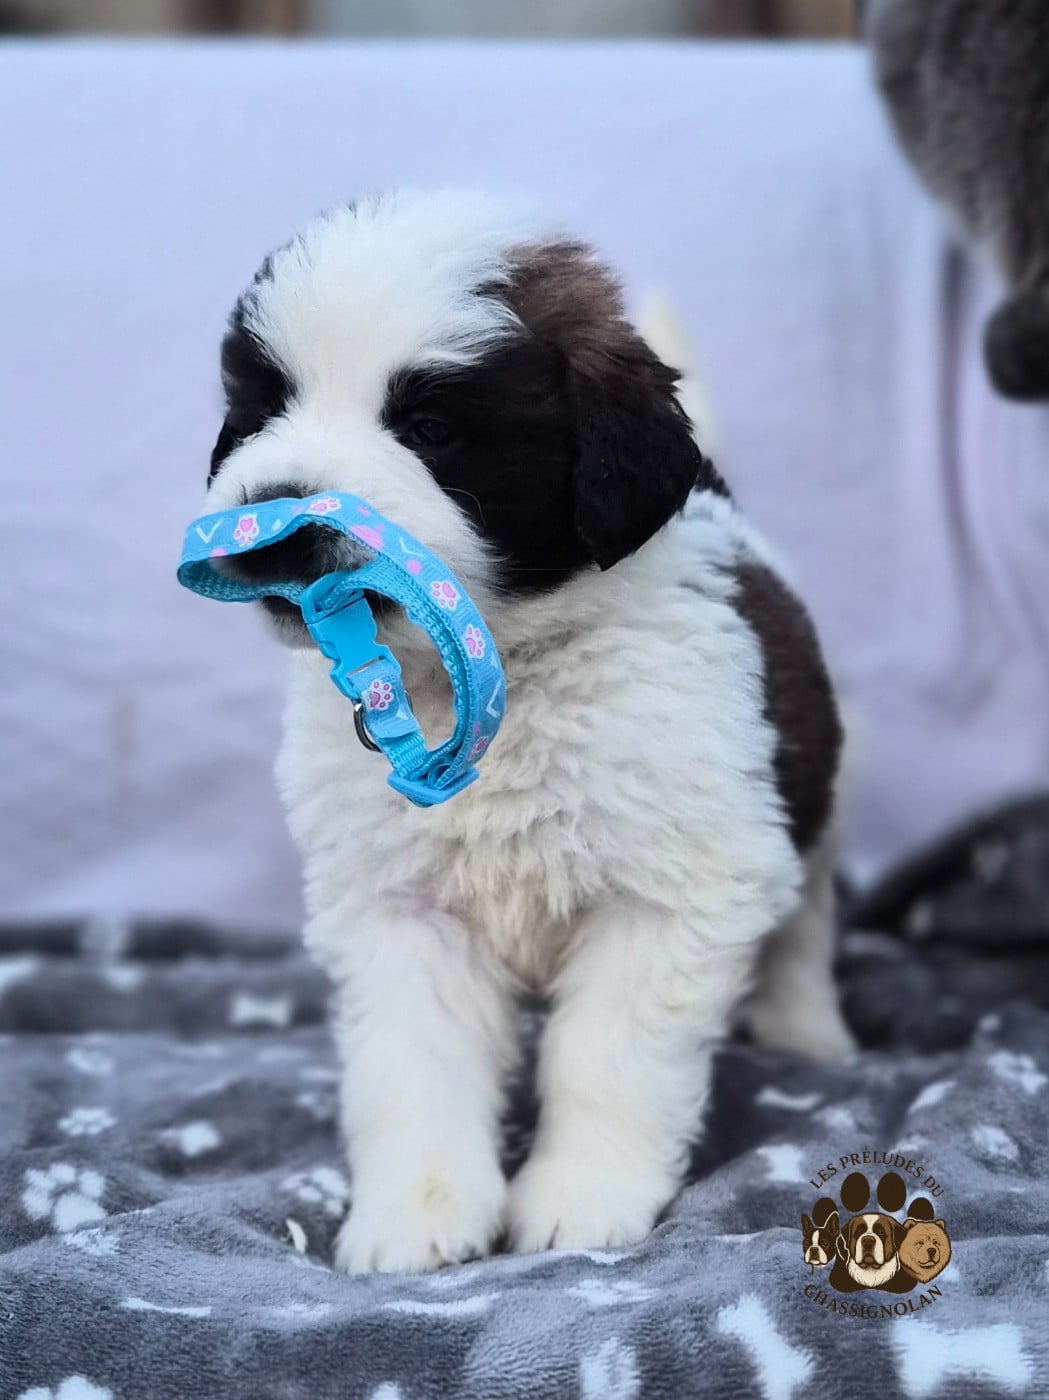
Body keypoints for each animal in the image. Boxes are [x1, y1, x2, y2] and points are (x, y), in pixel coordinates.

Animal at [202, 189, 854, 1274]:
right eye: (264, 405)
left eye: (430, 426)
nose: (273, 516)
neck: (499, 669)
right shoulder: (400, 911)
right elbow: (413, 1068)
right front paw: (413, 1215)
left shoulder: (667, 893)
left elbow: (605, 1056)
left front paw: (581, 1198)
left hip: (809, 806)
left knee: (802, 926)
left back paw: (808, 1036)